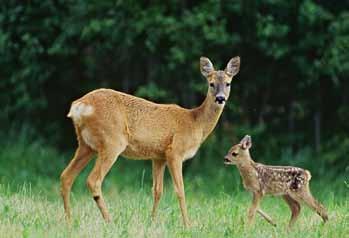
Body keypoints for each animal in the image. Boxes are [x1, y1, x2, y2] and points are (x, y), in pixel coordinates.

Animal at [59, 55, 239, 225]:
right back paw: (109, 221)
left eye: (228, 83)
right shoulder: (175, 151)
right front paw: (188, 224)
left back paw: (69, 222)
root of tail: (79, 106)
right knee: (93, 180)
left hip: (86, 145)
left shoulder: (158, 157)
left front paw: (152, 221)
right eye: (211, 84)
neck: (195, 122)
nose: (220, 98)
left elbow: (157, 190)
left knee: (66, 176)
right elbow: (180, 190)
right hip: (112, 141)